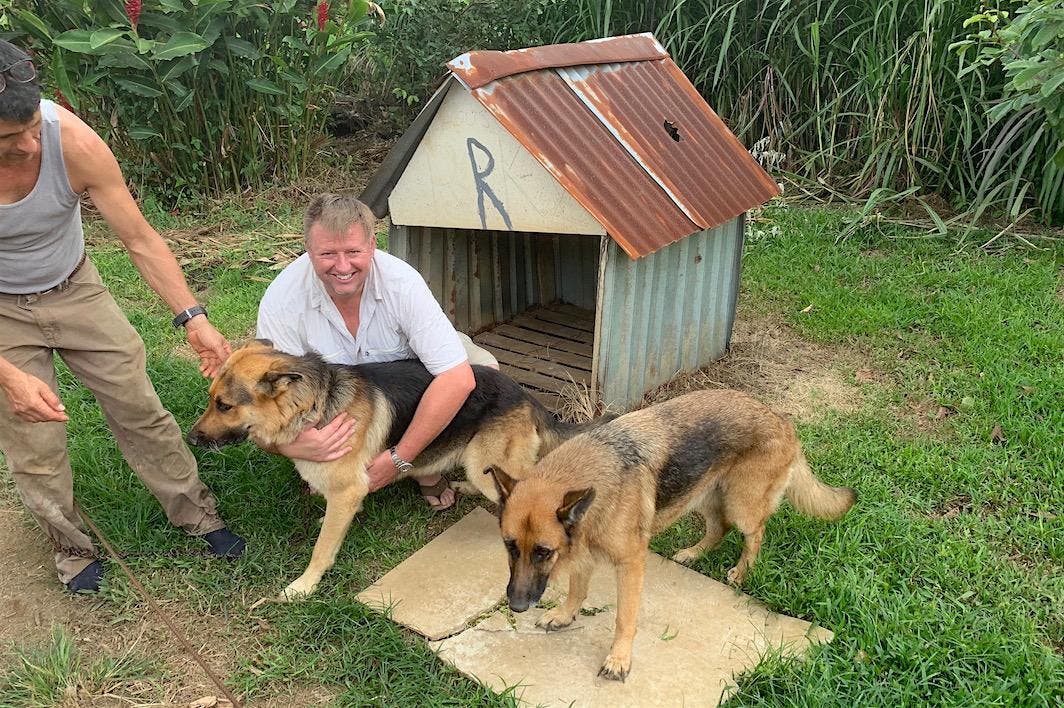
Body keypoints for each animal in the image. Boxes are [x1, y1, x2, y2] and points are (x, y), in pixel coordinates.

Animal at [185, 340, 600, 600]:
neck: (313, 405)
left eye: (224, 405)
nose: (191, 438)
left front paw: (305, 586)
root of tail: (527, 395)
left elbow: (322, 549)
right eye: (211, 399)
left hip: (481, 460)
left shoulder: (348, 490)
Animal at [489, 389, 855, 681]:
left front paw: (619, 659)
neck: (594, 481)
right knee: (718, 527)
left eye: (543, 552)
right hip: (702, 496)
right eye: (509, 546)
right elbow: (576, 590)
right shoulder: (584, 550)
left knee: (755, 533)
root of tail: (779, 418)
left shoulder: (630, 563)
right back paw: (694, 553)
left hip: (741, 505)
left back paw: (742, 571)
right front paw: (565, 615)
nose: (517, 606)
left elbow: (624, 618)